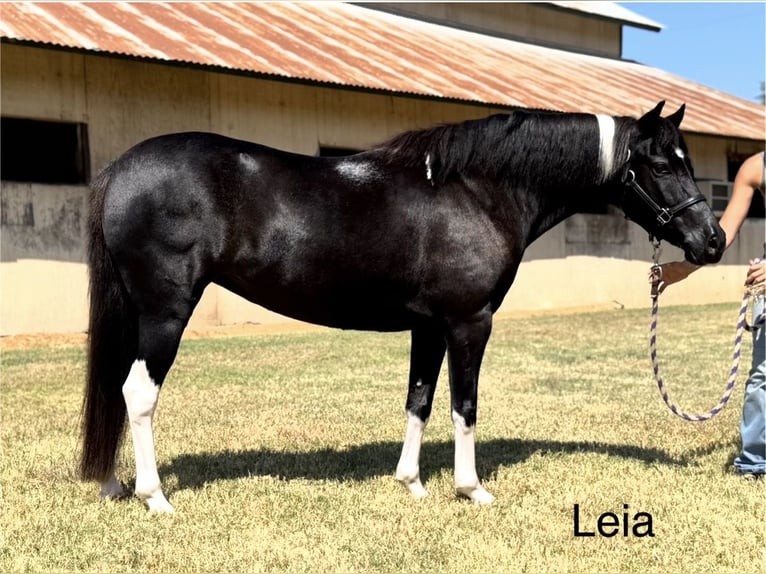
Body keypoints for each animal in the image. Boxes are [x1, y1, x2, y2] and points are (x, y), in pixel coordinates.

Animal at [81, 101, 725, 512]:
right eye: (661, 164)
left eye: (689, 161)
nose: (712, 240)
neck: (477, 190)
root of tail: (119, 170)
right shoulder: (469, 323)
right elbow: (465, 405)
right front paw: (471, 490)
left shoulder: (429, 328)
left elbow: (419, 400)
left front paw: (411, 483)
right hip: (165, 313)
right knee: (138, 393)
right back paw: (155, 497)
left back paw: (114, 485)